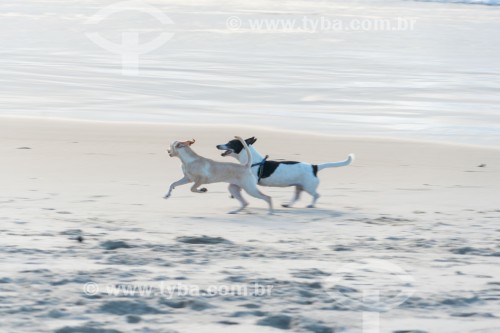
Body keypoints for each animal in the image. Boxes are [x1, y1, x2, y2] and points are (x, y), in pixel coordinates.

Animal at [217, 136, 354, 206]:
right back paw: (288, 204)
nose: (217, 145)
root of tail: (314, 167)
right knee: (297, 197)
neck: (253, 160)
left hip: (309, 187)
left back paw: (311, 204)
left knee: (316, 195)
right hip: (299, 186)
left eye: (230, 143)